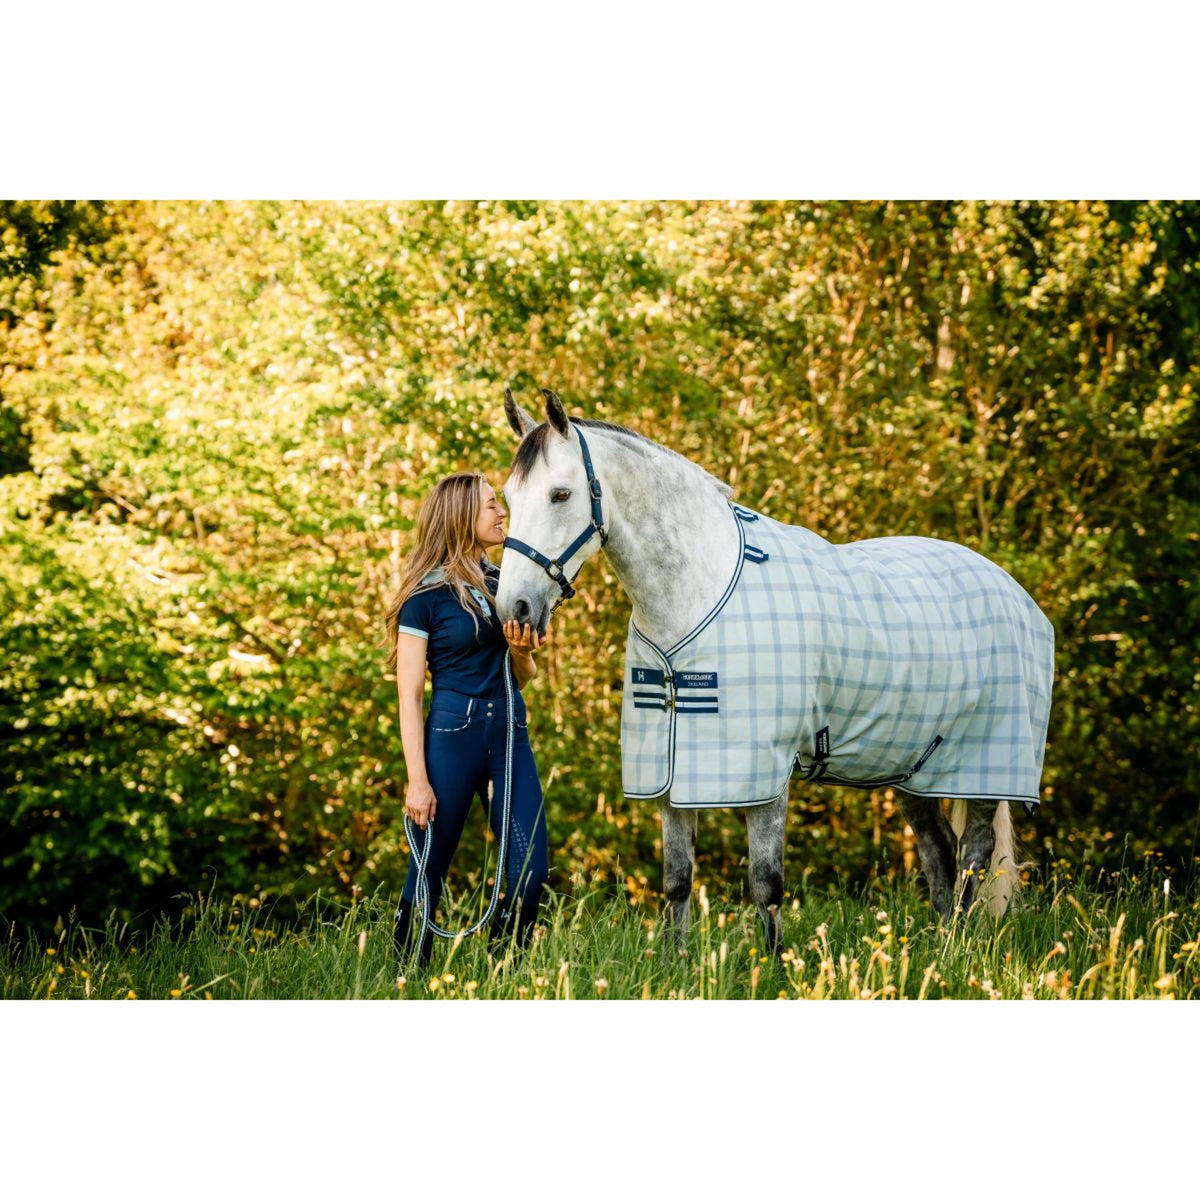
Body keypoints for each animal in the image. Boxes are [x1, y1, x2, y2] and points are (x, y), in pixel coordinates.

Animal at [494, 387, 1054, 953]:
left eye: (561, 494)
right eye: (510, 499)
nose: (513, 609)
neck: (698, 590)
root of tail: (1009, 588)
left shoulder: (763, 773)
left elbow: (766, 882)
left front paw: (773, 962)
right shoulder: (672, 770)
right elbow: (677, 879)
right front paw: (676, 961)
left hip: (985, 762)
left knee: (974, 853)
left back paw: (960, 946)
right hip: (911, 763)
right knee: (939, 851)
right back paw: (940, 947)